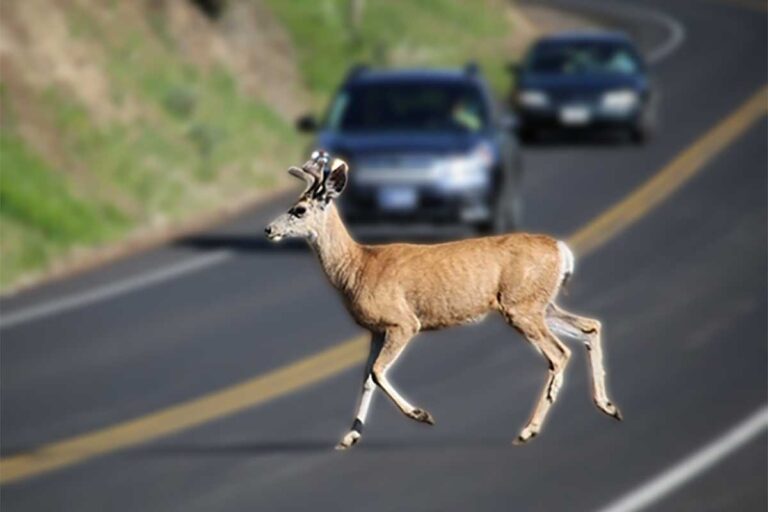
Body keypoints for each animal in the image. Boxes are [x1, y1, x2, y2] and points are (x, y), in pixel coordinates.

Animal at [266, 150, 624, 450]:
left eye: (299, 209)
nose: (269, 229)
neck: (357, 268)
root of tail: (562, 250)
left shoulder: (403, 322)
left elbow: (379, 373)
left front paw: (421, 415)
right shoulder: (376, 330)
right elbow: (367, 378)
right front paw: (350, 437)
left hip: (521, 307)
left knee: (559, 354)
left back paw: (528, 431)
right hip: (540, 305)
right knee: (590, 327)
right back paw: (608, 407)